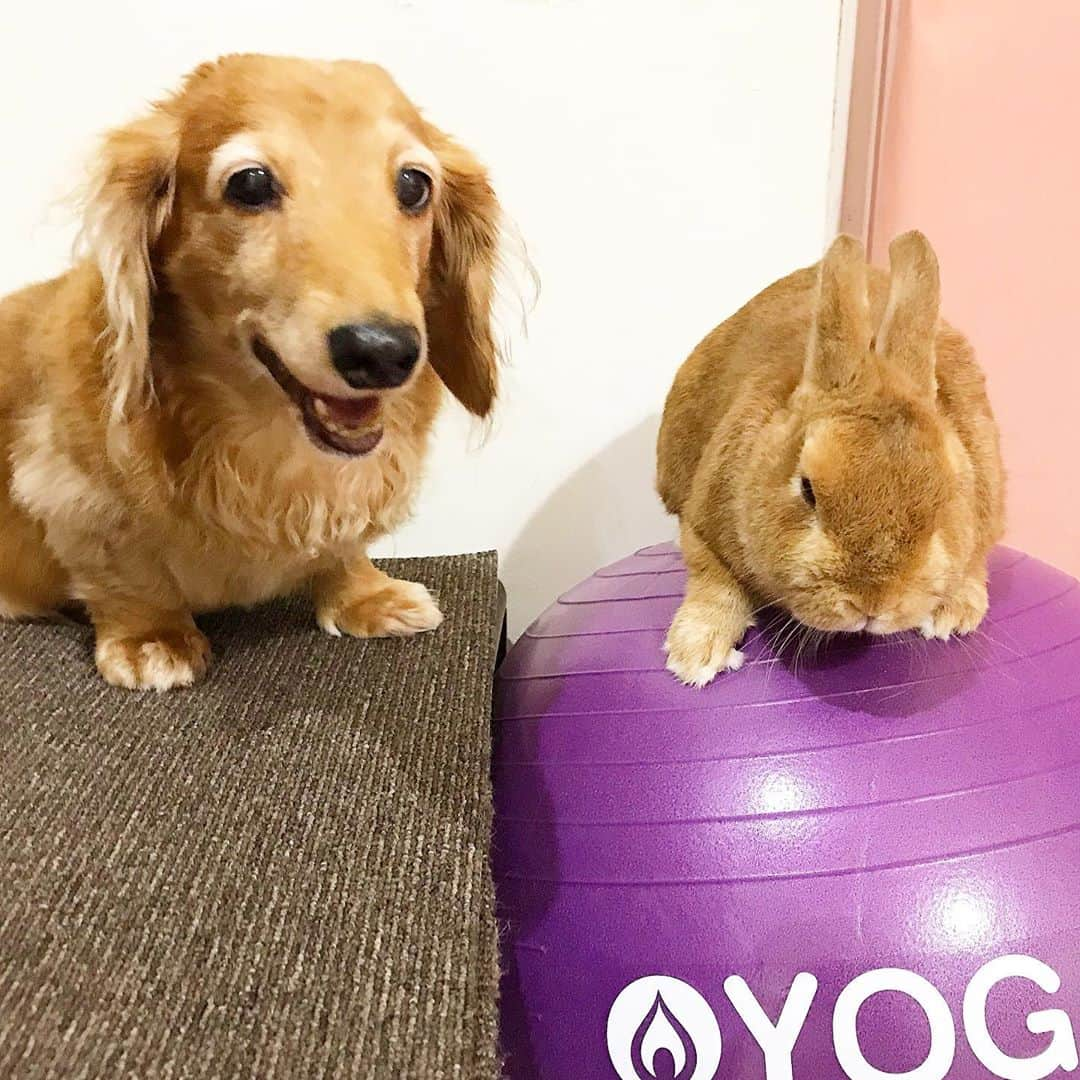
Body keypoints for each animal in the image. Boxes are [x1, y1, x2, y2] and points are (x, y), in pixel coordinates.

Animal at [0, 54, 503, 686]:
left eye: (415, 184)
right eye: (250, 182)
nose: (383, 352)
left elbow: (344, 545)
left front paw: (364, 593)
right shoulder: (66, 487)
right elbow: (122, 569)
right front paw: (151, 637)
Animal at [656, 232, 1002, 686]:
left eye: (944, 499)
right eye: (807, 489)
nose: (872, 604)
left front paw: (952, 616)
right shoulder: (699, 526)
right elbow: (713, 581)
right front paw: (695, 656)